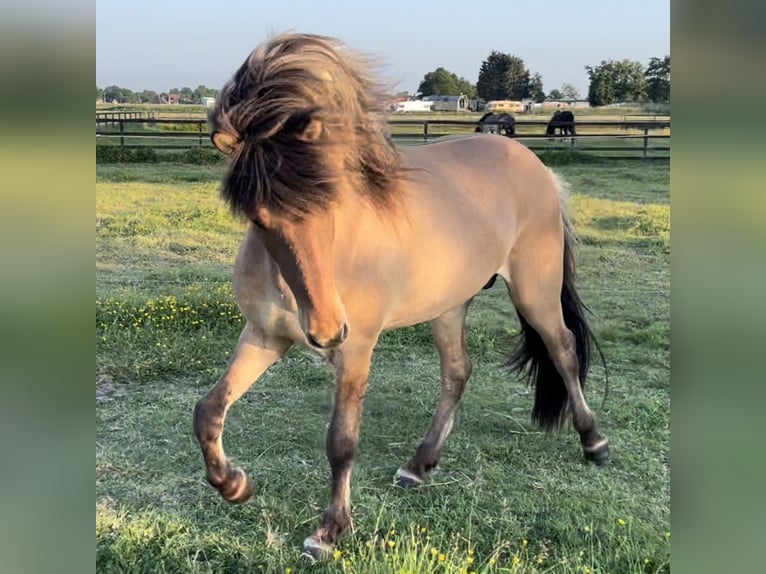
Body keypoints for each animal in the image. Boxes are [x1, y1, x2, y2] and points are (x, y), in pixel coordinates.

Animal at [194, 32, 612, 564]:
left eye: (330, 200)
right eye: (258, 217)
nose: (325, 331)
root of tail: (535, 167)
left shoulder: (356, 348)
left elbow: (341, 440)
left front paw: (329, 531)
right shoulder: (265, 336)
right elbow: (208, 411)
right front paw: (234, 485)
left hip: (535, 292)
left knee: (563, 351)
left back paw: (594, 442)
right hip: (450, 304)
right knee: (458, 372)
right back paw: (419, 464)